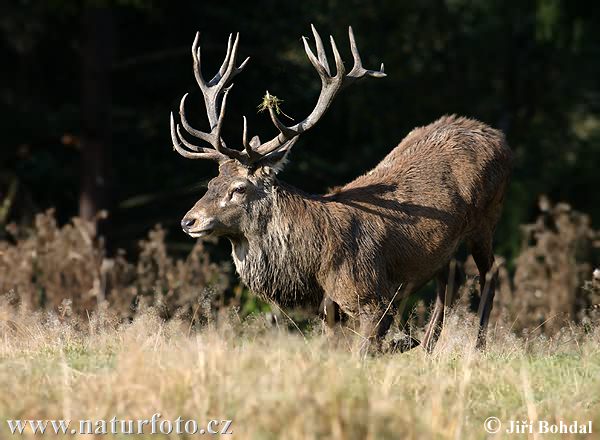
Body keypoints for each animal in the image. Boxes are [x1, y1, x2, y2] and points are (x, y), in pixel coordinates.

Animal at [169, 24, 510, 354]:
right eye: (211, 183)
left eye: (239, 188)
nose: (188, 220)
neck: (313, 263)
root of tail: (498, 136)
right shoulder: (329, 312)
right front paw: (403, 344)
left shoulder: (373, 296)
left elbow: (362, 354)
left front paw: (397, 345)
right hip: (445, 247)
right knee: (450, 279)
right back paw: (426, 347)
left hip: (487, 217)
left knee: (489, 274)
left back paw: (475, 347)